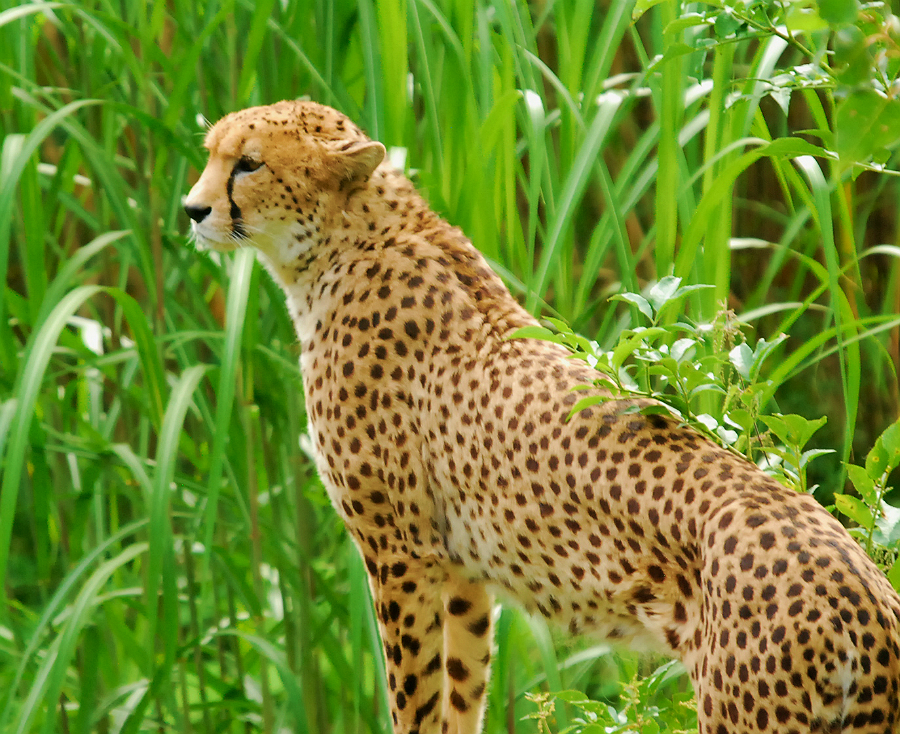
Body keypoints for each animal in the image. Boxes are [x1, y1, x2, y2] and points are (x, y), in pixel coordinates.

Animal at [184, 99, 900, 734]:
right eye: (211, 154)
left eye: (248, 163)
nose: (192, 210)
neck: (346, 241)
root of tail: (864, 594)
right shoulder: (462, 572)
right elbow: (461, 691)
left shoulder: (400, 553)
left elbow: (414, 697)